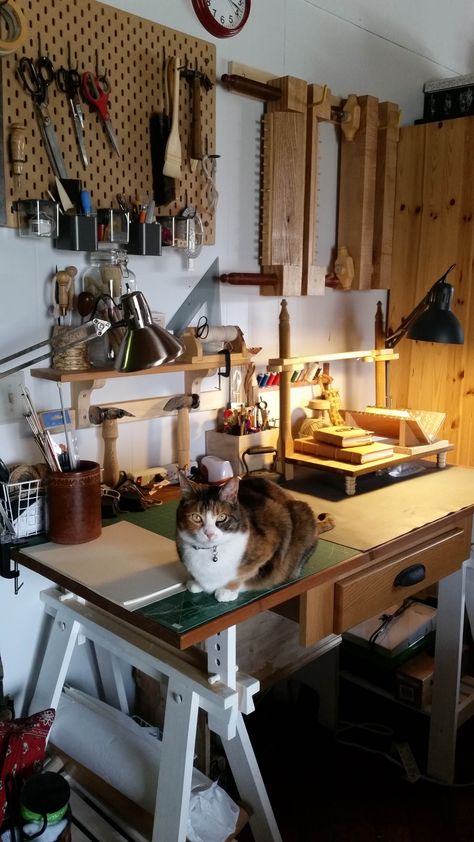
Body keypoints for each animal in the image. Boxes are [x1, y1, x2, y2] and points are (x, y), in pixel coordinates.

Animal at [174, 472, 334, 604]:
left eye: (222, 517)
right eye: (196, 517)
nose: (209, 534)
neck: (209, 551)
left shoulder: (272, 540)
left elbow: (245, 573)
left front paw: (228, 590)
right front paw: (196, 582)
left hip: (301, 515)